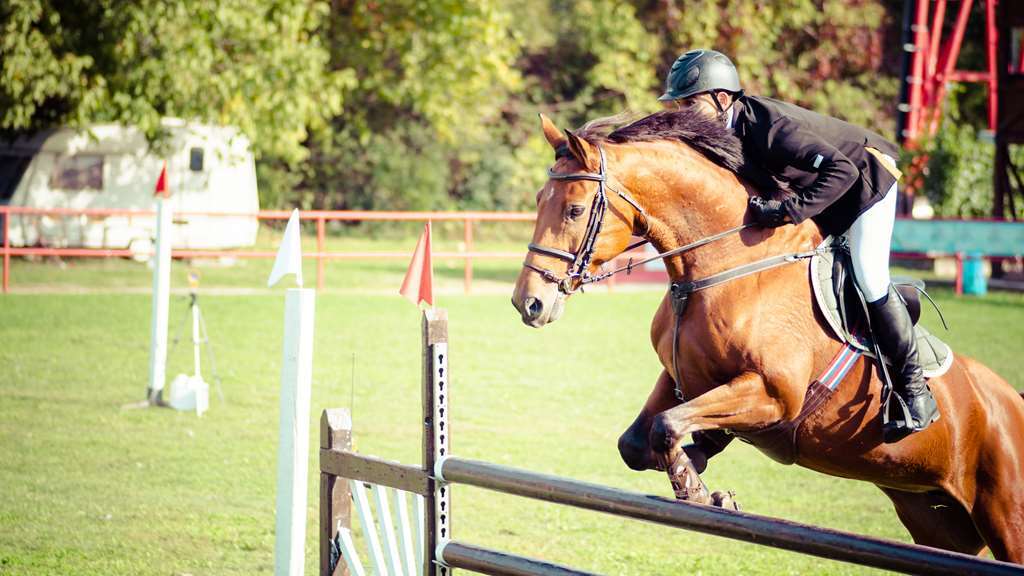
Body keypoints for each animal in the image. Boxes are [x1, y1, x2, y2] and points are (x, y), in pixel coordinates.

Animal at [516, 111, 1024, 561]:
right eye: (539, 199)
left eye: (575, 209)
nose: (529, 303)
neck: (724, 265)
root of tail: (1010, 400)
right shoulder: (682, 377)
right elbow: (639, 442)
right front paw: (701, 471)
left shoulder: (774, 395)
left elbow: (668, 425)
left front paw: (696, 489)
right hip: (938, 521)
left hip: (1005, 516)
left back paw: (914, 406)